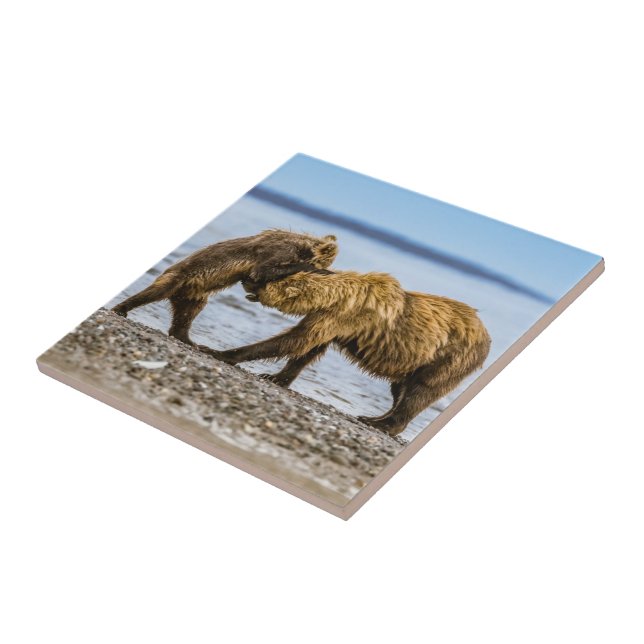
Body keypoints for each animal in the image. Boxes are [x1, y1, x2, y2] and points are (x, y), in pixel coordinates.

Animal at [112, 230, 337, 346]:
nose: (327, 268)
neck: (303, 247)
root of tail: (180, 293)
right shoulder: (279, 251)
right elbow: (264, 270)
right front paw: (317, 270)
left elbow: (256, 277)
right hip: (180, 277)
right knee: (156, 291)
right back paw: (121, 309)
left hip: (195, 294)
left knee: (187, 314)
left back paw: (188, 339)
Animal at [203, 270, 491, 436]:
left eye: (265, 278)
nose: (246, 278)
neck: (337, 295)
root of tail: (487, 339)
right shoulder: (333, 320)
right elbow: (309, 349)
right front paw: (276, 377)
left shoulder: (348, 316)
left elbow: (296, 340)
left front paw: (220, 352)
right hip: (415, 362)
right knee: (400, 389)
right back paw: (375, 416)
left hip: (448, 359)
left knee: (421, 392)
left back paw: (381, 424)